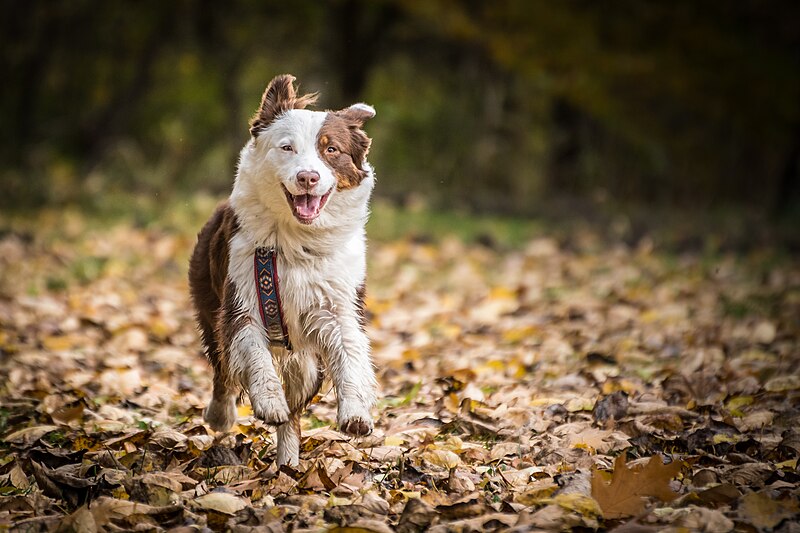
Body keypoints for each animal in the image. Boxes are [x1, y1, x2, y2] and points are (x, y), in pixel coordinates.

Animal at [188, 72, 378, 464]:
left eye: (331, 150)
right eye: (287, 148)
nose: (307, 177)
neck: (295, 239)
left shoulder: (338, 305)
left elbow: (350, 356)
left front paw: (355, 413)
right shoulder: (242, 300)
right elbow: (254, 354)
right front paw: (268, 400)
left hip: (304, 362)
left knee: (294, 414)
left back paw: (288, 463)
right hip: (208, 305)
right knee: (222, 370)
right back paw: (220, 415)